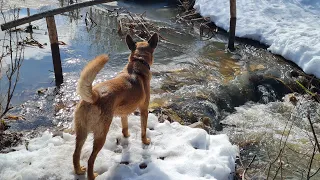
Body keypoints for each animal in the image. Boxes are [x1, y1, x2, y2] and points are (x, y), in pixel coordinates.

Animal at [72, 33, 158, 179]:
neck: (137, 64)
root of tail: (94, 96)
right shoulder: (144, 110)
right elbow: (143, 130)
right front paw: (145, 141)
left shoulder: (124, 114)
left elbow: (125, 127)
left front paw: (127, 136)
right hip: (101, 134)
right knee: (90, 160)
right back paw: (92, 175)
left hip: (81, 132)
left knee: (75, 154)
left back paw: (78, 170)